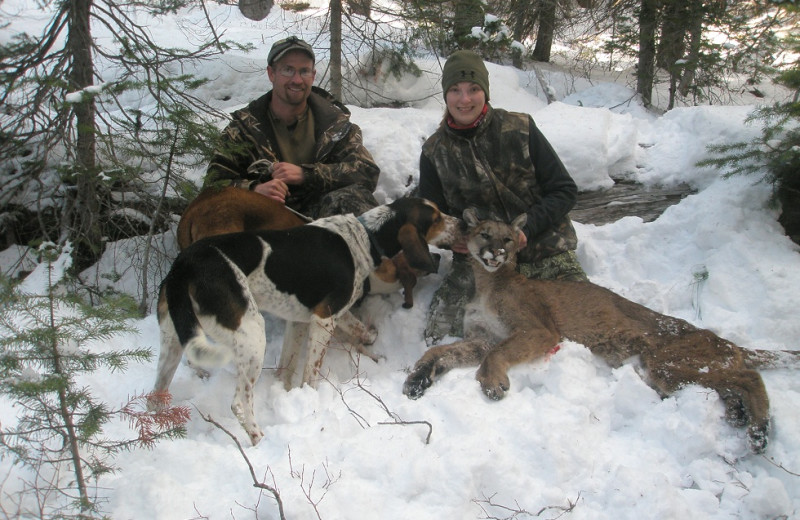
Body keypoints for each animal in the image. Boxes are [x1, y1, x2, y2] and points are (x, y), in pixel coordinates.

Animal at [152, 197, 460, 444]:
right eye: (436, 218)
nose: (461, 221)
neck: (365, 237)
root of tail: (184, 265)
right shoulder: (325, 318)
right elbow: (312, 372)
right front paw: (311, 398)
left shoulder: (300, 321)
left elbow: (290, 365)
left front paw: (287, 393)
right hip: (251, 333)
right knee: (239, 403)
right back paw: (259, 439)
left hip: (172, 341)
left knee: (156, 396)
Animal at [406, 209, 800, 452]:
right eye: (485, 234)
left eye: (507, 238)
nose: (496, 253)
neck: (488, 282)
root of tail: (722, 338)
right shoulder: (481, 337)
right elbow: (439, 351)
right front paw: (418, 378)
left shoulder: (540, 331)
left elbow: (496, 356)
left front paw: (492, 382)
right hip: (670, 374)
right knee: (732, 382)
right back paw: (740, 416)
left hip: (668, 364)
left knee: (749, 376)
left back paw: (759, 433)